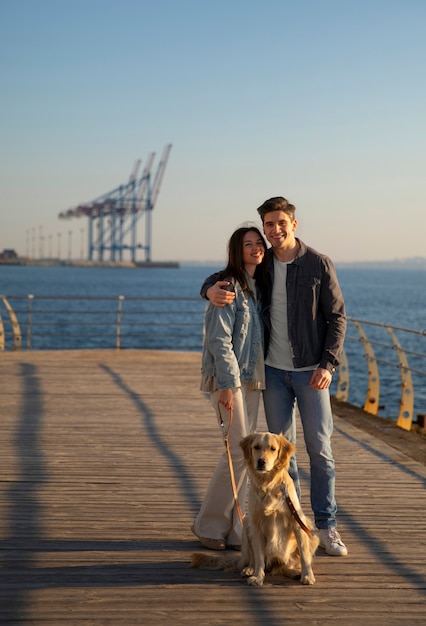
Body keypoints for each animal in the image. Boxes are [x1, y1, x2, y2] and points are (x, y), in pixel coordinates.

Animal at [191, 432, 318, 584]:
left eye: (273, 449)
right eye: (256, 447)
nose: (261, 461)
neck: (267, 484)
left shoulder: (297, 523)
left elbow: (304, 555)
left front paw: (307, 575)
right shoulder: (256, 524)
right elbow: (258, 557)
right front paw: (257, 576)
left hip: (312, 534)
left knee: (283, 567)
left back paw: (295, 572)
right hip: (246, 524)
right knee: (253, 559)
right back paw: (249, 569)